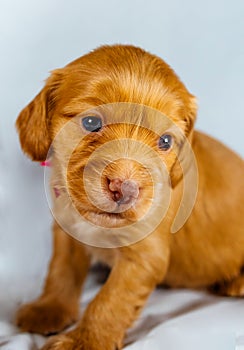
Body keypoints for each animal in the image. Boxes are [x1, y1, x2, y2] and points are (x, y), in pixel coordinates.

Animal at [15, 45, 244, 348]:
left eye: (165, 141)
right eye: (91, 122)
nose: (126, 189)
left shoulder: (144, 256)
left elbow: (111, 299)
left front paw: (85, 340)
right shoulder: (67, 230)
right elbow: (61, 269)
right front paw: (48, 309)